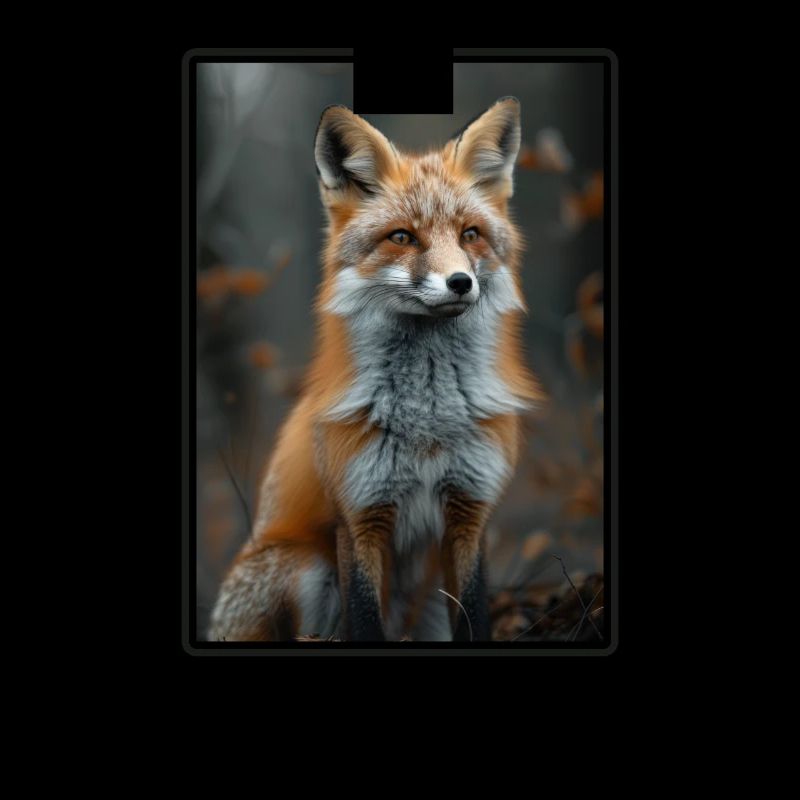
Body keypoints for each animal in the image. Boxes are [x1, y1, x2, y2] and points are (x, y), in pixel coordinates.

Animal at [209, 97, 542, 642]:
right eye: (402, 237)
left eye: (469, 234)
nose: (460, 282)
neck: (428, 420)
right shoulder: (360, 514)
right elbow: (365, 618)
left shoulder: (470, 510)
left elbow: (474, 614)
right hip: (307, 566)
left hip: (427, 601)